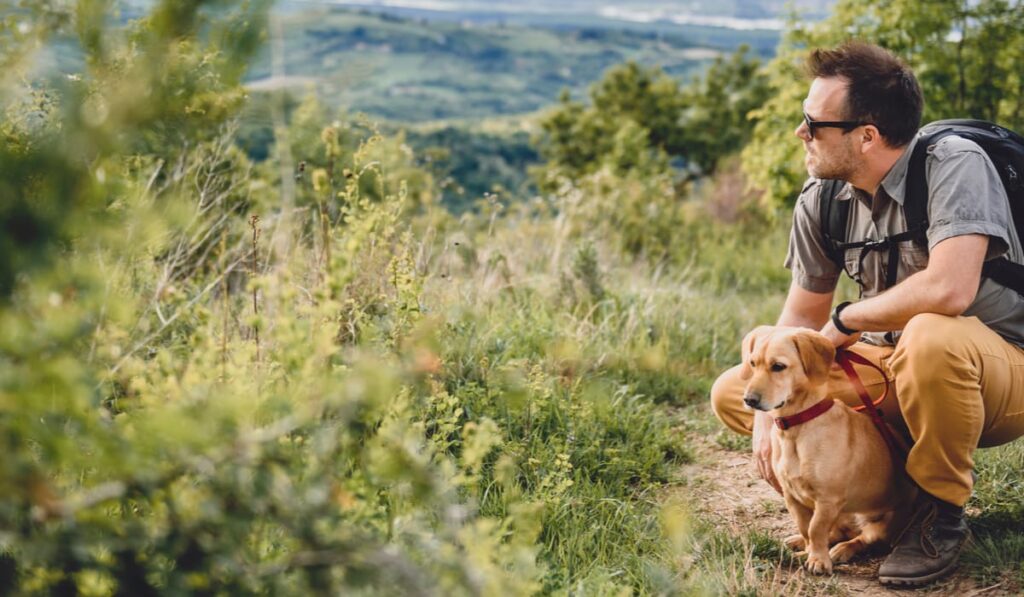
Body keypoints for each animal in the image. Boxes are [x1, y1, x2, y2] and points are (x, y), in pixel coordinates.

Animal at [741, 327, 917, 573]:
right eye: (752, 363)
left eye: (778, 366)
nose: (749, 400)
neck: (797, 426)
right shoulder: (792, 497)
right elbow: (807, 528)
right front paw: (807, 551)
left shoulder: (827, 500)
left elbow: (816, 529)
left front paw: (818, 560)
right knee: (835, 533)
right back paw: (801, 544)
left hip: (880, 524)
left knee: (862, 539)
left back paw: (841, 550)